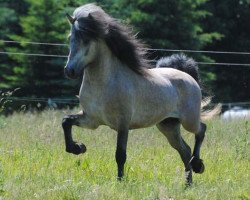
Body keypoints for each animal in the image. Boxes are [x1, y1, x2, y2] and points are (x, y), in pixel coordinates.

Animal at [62, 3, 219, 185]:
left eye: (86, 39)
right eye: (70, 38)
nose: (69, 71)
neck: (104, 84)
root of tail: (188, 77)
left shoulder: (123, 124)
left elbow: (120, 155)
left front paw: (120, 181)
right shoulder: (91, 120)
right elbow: (66, 121)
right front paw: (78, 148)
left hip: (189, 121)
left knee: (201, 130)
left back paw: (198, 165)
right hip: (168, 125)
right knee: (184, 151)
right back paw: (188, 183)